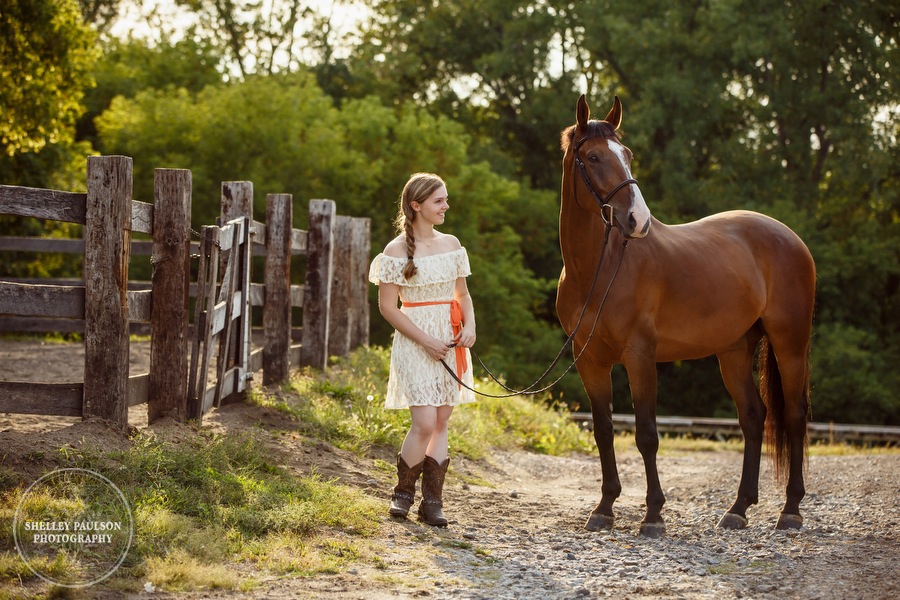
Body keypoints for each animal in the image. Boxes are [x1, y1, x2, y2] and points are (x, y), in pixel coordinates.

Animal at [556, 96, 816, 536]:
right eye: (592, 157)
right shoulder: (589, 360)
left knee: (795, 416)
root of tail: (791, 238)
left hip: (790, 343)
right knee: (753, 417)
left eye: (626, 155)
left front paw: (653, 515)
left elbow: (646, 434)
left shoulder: (640, 356)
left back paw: (791, 511)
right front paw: (604, 509)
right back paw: (738, 509)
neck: (598, 269)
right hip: (734, 351)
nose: (637, 221)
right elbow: (604, 431)